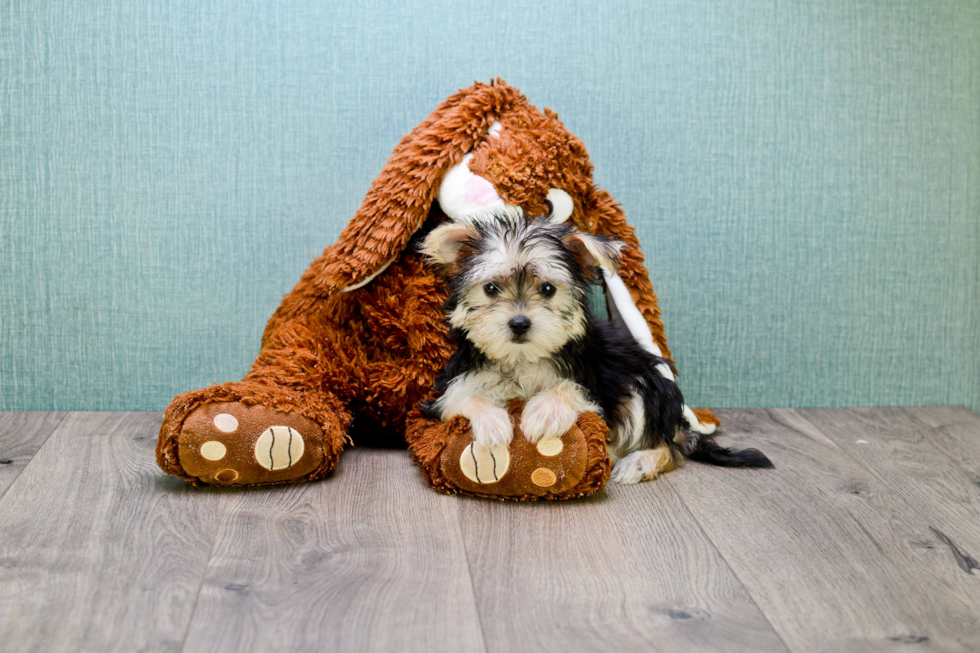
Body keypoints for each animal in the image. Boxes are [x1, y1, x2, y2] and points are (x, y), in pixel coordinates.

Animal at [418, 215, 768, 484]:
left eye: (548, 289)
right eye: (491, 289)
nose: (519, 323)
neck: (522, 358)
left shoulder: (597, 380)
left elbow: (573, 390)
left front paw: (545, 413)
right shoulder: (450, 385)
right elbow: (464, 396)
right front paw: (492, 423)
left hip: (645, 384)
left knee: (671, 447)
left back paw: (636, 462)